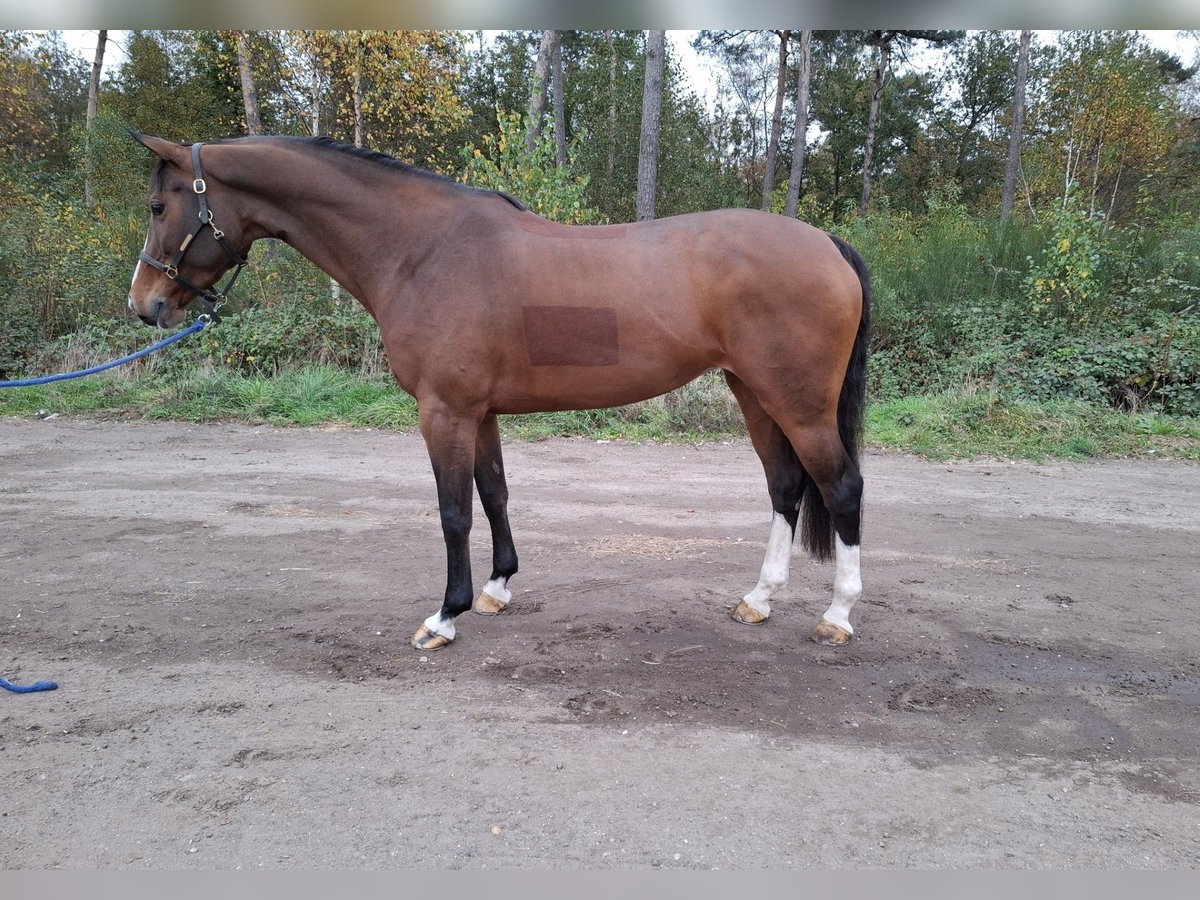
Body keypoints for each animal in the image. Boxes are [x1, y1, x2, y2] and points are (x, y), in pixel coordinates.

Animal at [124, 133, 873, 652]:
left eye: (161, 205)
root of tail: (828, 244)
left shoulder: (443, 412)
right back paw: (759, 599)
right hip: (754, 393)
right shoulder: (477, 413)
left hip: (798, 403)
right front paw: (495, 588)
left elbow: (453, 510)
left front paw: (444, 616)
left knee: (840, 488)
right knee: (785, 486)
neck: (421, 250)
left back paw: (836, 617)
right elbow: (494, 494)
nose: (145, 304)